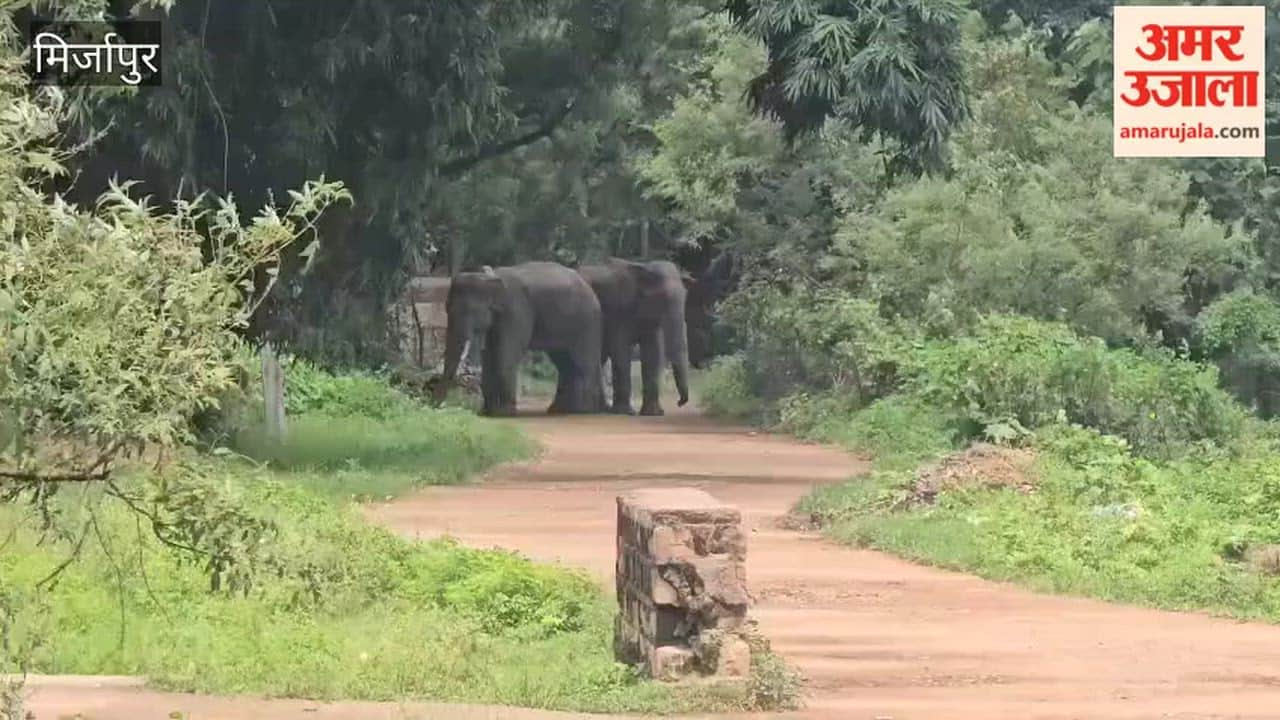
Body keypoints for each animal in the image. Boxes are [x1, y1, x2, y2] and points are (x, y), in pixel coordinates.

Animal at [437, 262, 603, 416]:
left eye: (469, 310)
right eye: (447, 307)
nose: (436, 406)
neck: (490, 277)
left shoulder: (516, 311)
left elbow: (505, 355)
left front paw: (503, 413)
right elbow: (490, 356)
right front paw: (486, 412)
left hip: (587, 322)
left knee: (582, 362)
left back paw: (582, 410)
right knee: (564, 362)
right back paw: (560, 410)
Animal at [577, 258, 690, 416]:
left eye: (686, 296)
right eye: (663, 298)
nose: (680, 402)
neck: (645, 268)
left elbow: (652, 353)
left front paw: (653, 413)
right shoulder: (619, 309)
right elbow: (620, 350)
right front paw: (626, 412)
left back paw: (602, 409)